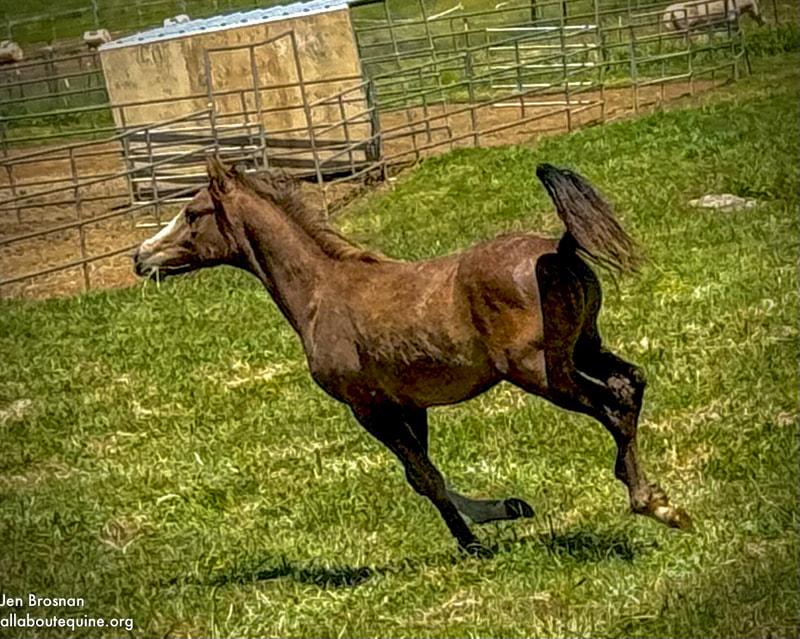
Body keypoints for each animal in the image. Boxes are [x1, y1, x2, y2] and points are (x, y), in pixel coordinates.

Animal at [133, 158, 692, 555]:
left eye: (192, 214)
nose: (140, 257)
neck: (322, 289)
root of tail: (559, 250)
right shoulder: (408, 404)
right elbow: (422, 475)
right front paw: (509, 508)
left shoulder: (367, 408)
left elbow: (423, 477)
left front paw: (474, 541)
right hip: (586, 347)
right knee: (632, 384)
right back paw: (661, 501)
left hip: (543, 372)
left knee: (612, 405)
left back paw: (654, 504)